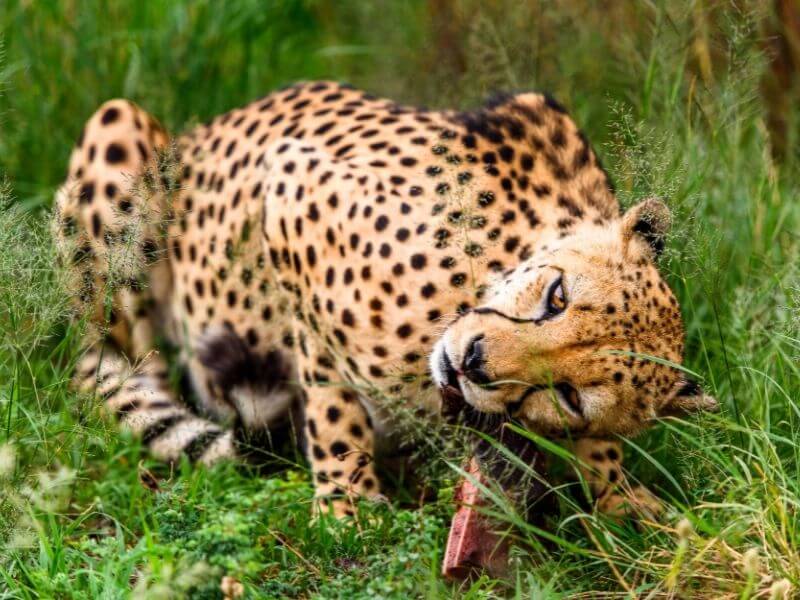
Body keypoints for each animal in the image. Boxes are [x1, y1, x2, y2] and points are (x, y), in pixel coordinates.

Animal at [56, 81, 720, 520]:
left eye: (569, 396)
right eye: (556, 297)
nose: (474, 361)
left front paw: (623, 499)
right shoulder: (289, 188)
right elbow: (330, 396)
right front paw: (347, 510)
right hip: (122, 142)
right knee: (119, 351)